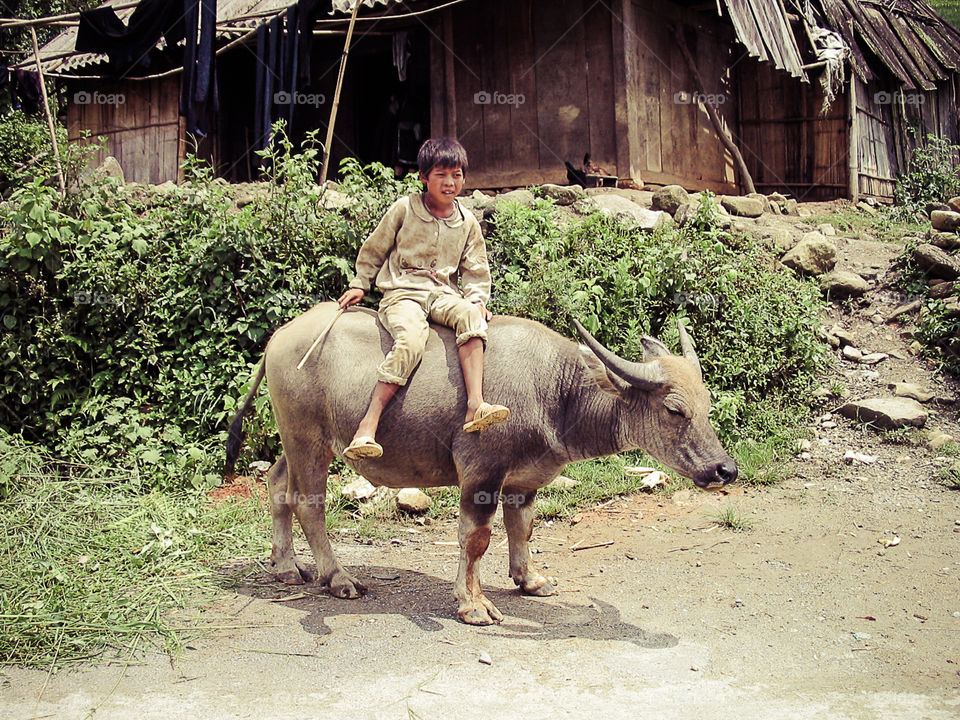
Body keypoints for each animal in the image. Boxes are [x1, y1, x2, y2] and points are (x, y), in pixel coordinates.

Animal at [225, 302, 736, 624]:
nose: (724, 470)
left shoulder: (524, 480)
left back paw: (286, 566)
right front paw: (473, 605)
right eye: (674, 410)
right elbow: (476, 539)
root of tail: (280, 337)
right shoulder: (481, 472)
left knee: (277, 485)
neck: (557, 392)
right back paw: (339, 578)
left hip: (296, 439)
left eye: (707, 404)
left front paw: (530, 580)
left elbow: (522, 528)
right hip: (307, 438)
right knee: (309, 503)